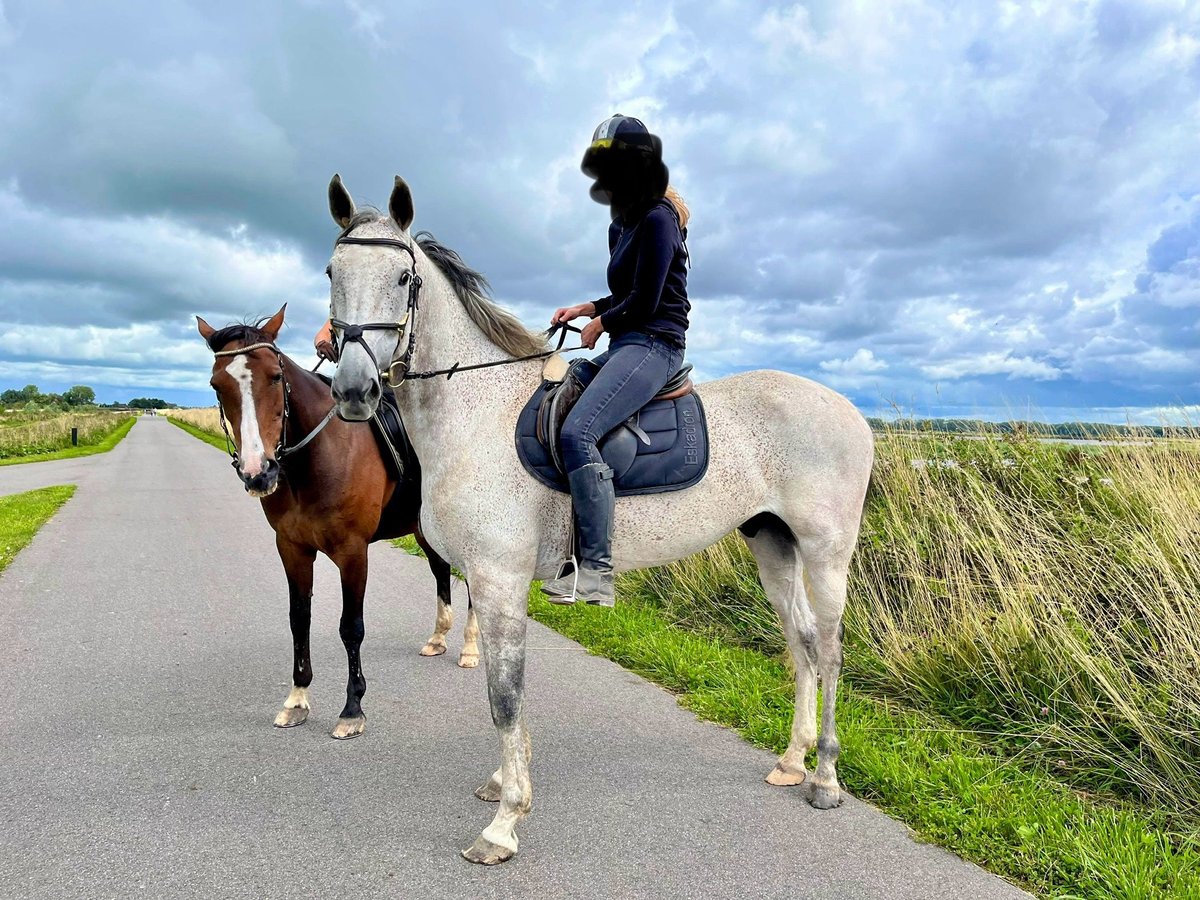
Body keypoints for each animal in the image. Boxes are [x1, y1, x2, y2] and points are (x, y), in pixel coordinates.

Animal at [196, 307, 477, 744]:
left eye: (274, 376)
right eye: (217, 384)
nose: (258, 473)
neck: (316, 459)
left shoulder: (352, 552)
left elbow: (351, 628)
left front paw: (352, 708)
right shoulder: (291, 548)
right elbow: (299, 619)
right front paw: (296, 700)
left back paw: (469, 648)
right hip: (423, 529)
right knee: (440, 571)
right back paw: (438, 637)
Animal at [324, 174, 878, 868]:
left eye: (403, 277)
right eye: (332, 271)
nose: (354, 390)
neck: (475, 413)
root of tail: (851, 411)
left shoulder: (500, 578)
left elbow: (504, 695)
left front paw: (504, 824)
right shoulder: (487, 579)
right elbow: (505, 691)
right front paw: (505, 784)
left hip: (827, 552)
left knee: (828, 649)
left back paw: (825, 777)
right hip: (773, 544)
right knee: (801, 643)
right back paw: (792, 761)